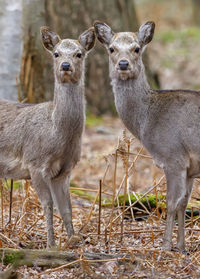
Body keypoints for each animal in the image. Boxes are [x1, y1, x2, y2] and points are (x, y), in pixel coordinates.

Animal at [0, 26, 95, 248]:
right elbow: (48, 204)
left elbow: (67, 208)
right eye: (56, 54)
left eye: (79, 53)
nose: (66, 66)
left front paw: (72, 240)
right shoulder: (35, 163)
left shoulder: (64, 171)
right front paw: (51, 244)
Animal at [94, 21, 200, 254]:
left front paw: (166, 247)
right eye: (111, 48)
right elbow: (184, 204)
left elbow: (171, 203)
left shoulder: (173, 158)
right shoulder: (189, 169)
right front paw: (181, 247)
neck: (147, 121)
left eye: (136, 48)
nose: (123, 64)